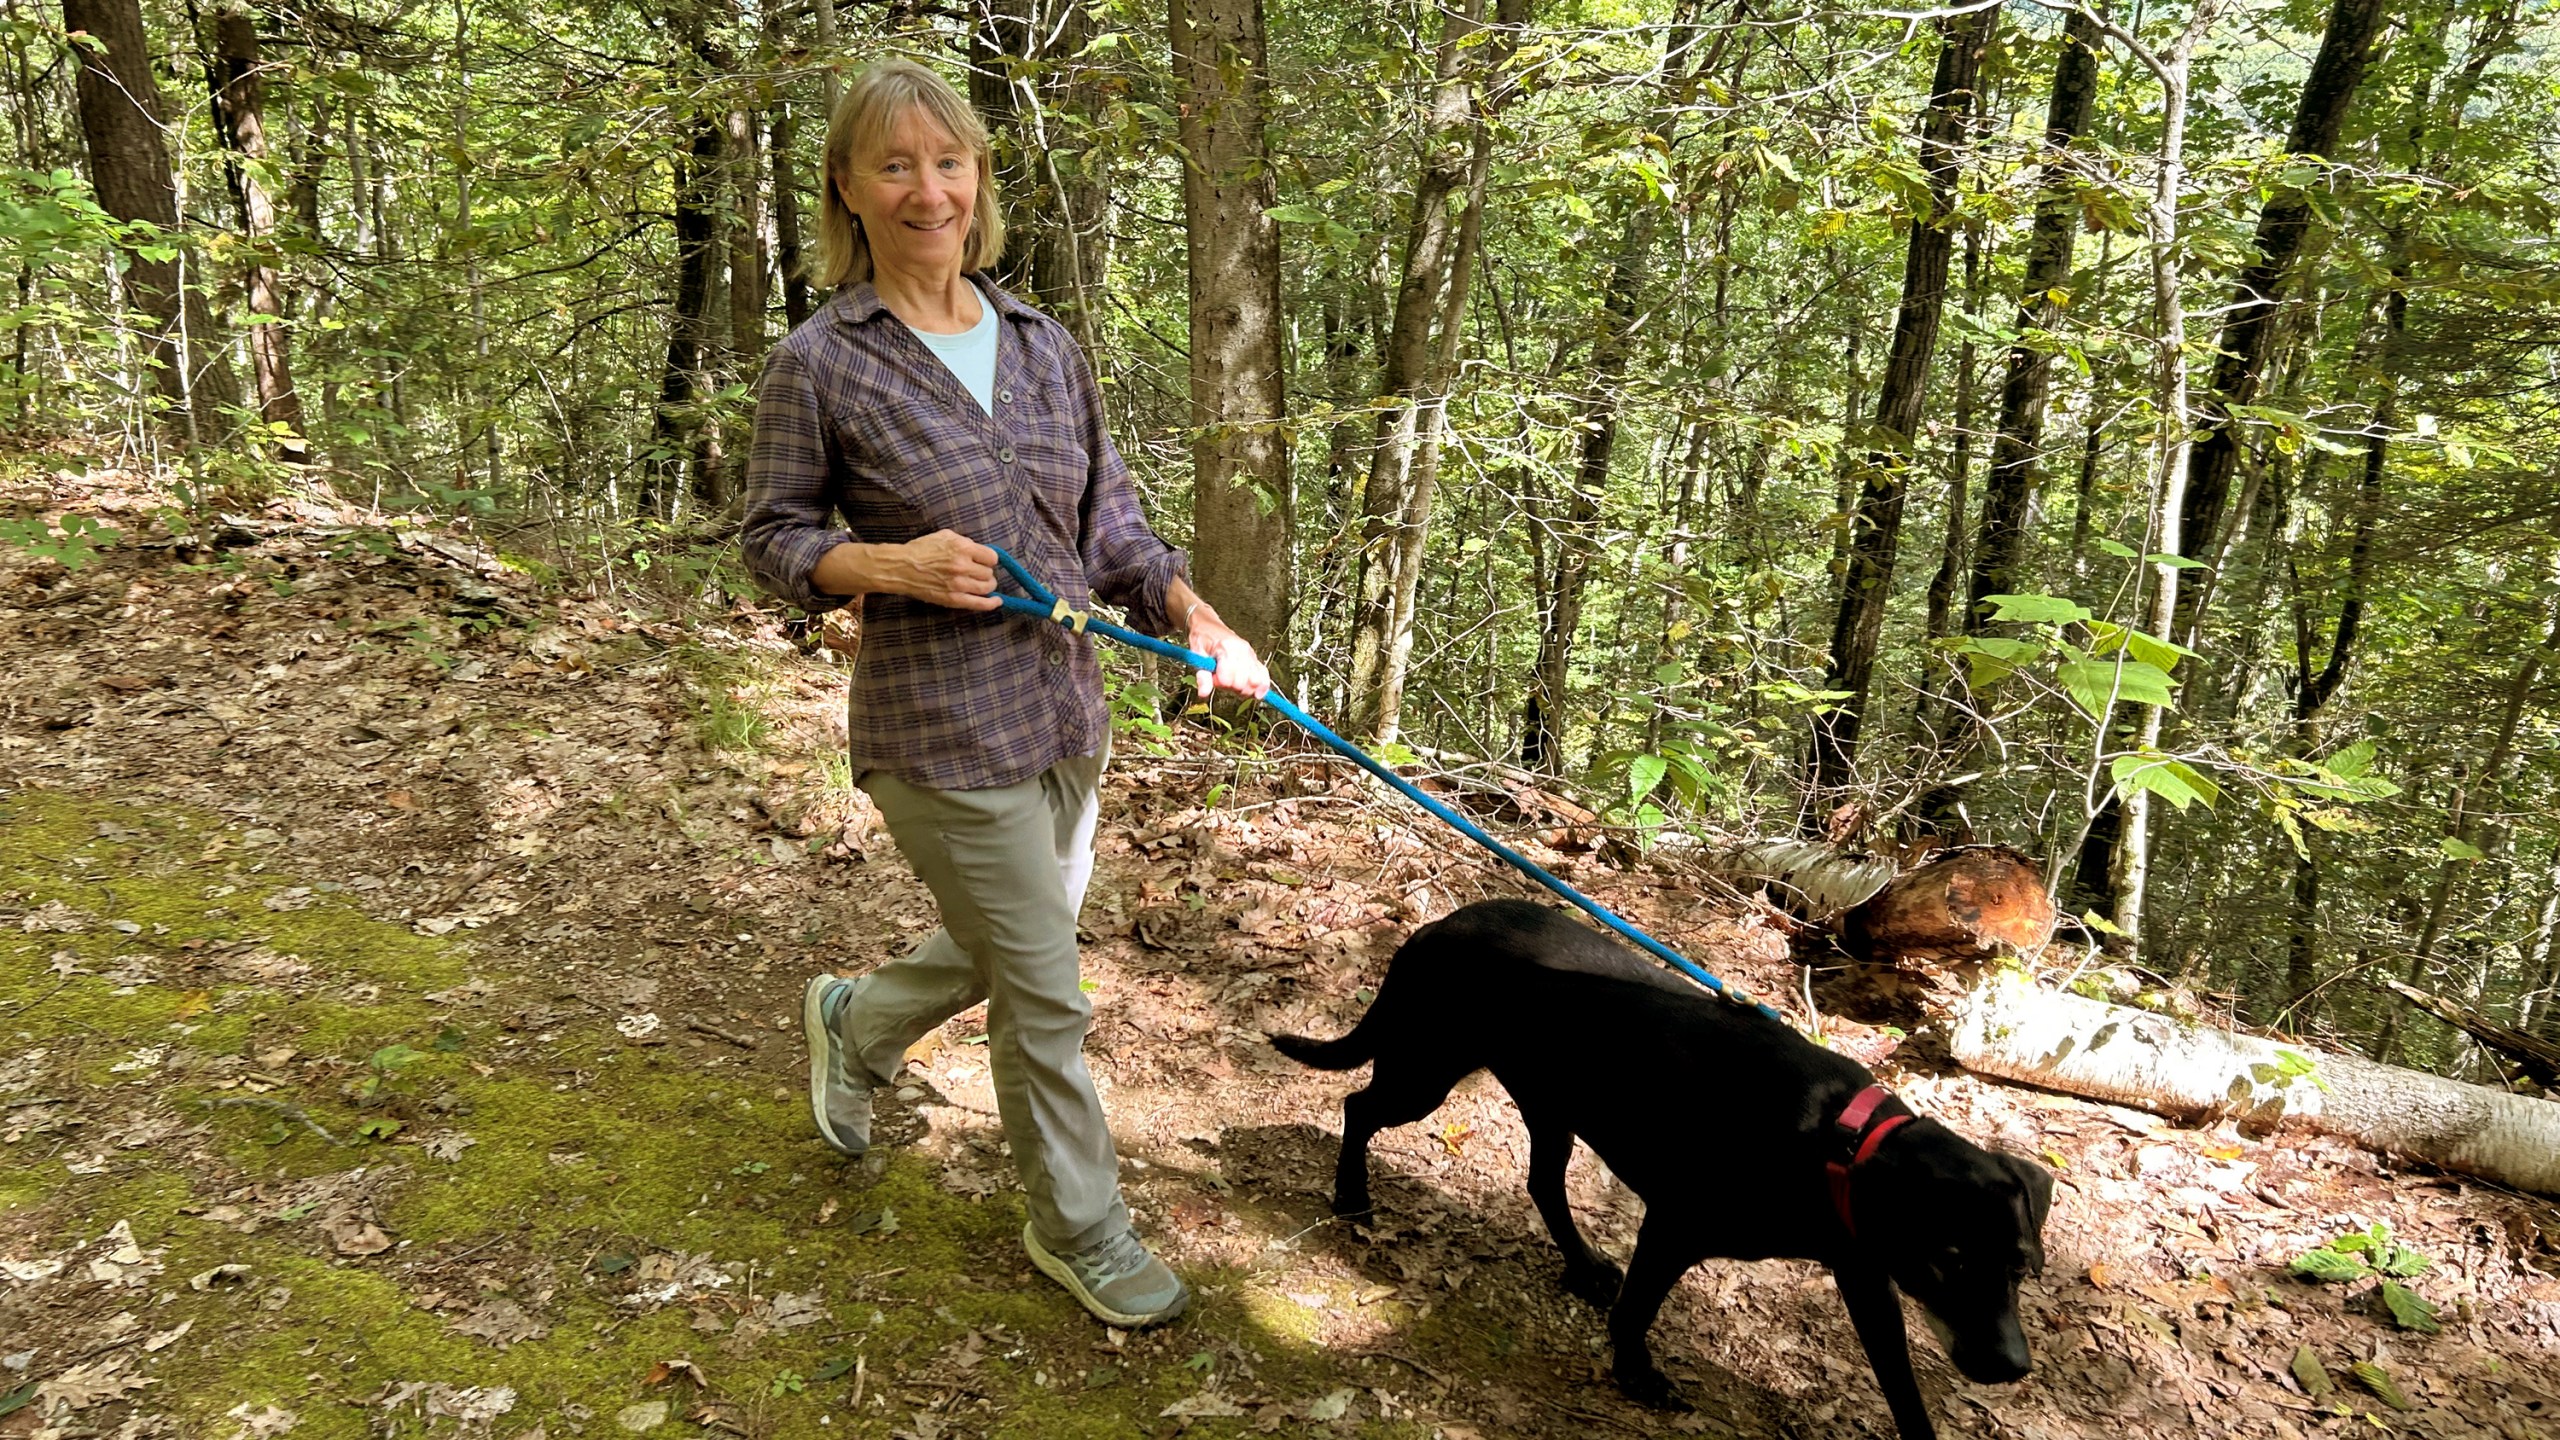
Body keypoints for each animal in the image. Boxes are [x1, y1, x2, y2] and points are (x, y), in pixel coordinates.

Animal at [1269, 891, 2048, 1424]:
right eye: (1949, 1259)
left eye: (2020, 1266)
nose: (2013, 1368)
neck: (1836, 1144)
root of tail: (1434, 928)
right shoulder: (1674, 1228)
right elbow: (1638, 1312)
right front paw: (1636, 1374)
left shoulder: (1865, 1276)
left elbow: (1902, 1388)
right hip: (1427, 1072)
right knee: (1359, 1108)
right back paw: (1351, 1198)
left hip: (1552, 1104)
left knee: (1542, 1183)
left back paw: (1583, 1266)